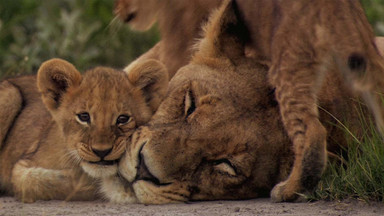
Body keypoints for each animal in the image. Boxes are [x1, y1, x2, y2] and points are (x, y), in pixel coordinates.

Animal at [0, 58, 168, 202]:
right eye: (84, 116)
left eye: (123, 119)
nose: (101, 151)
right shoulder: (21, 167)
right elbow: (37, 181)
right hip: (10, 93)